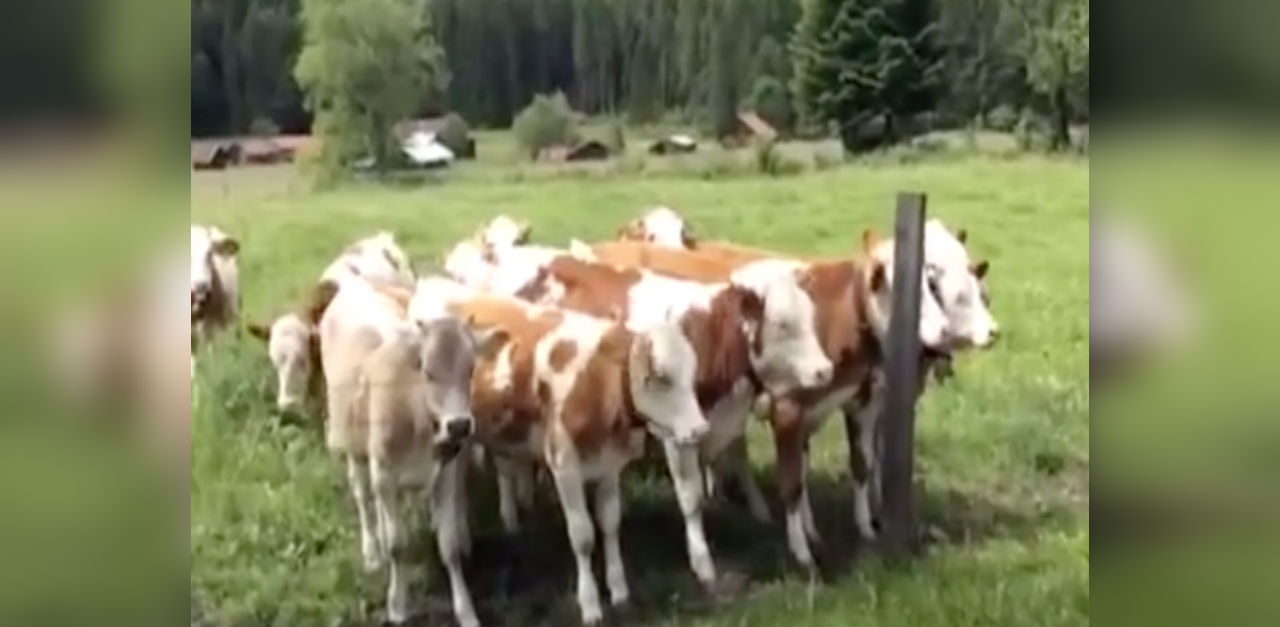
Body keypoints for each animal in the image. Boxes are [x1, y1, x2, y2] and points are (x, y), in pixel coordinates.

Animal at [320, 273, 499, 627]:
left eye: (471, 368)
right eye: (427, 371)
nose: (459, 425)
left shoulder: (444, 474)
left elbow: (450, 546)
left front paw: (466, 611)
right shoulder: (384, 475)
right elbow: (397, 545)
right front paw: (398, 605)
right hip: (353, 446)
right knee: (363, 496)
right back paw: (371, 551)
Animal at [409, 276, 711, 624]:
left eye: (692, 374)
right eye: (658, 377)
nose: (700, 429)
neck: (596, 379)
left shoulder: (608, 463)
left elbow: (610, 524)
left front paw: (619, 590)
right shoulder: (563, 464)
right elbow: (582, 536)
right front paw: (591, 605)